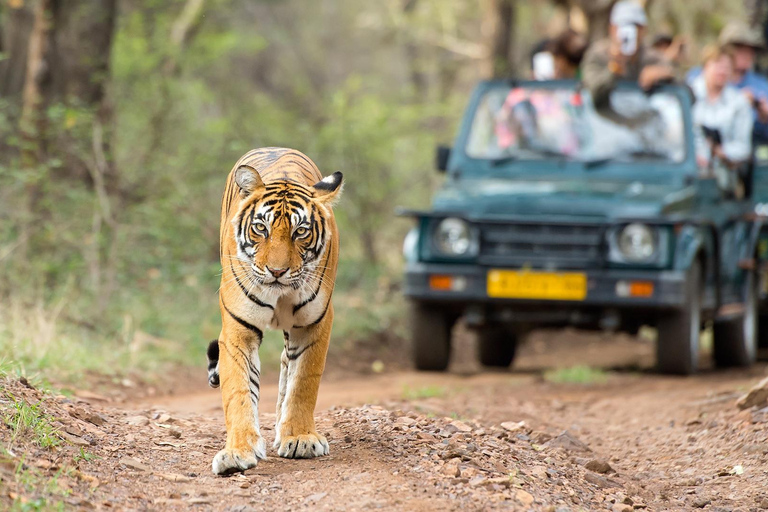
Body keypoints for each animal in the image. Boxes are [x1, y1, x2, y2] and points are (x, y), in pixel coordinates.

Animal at [207, 147, 343, 475]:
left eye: (300, 232)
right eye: (261, 228)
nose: (277, 271)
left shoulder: (314, 324)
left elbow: (304, 382)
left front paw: (300, 437)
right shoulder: (238, 329)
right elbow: (239, 390)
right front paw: (237, 452)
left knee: (286, 364)